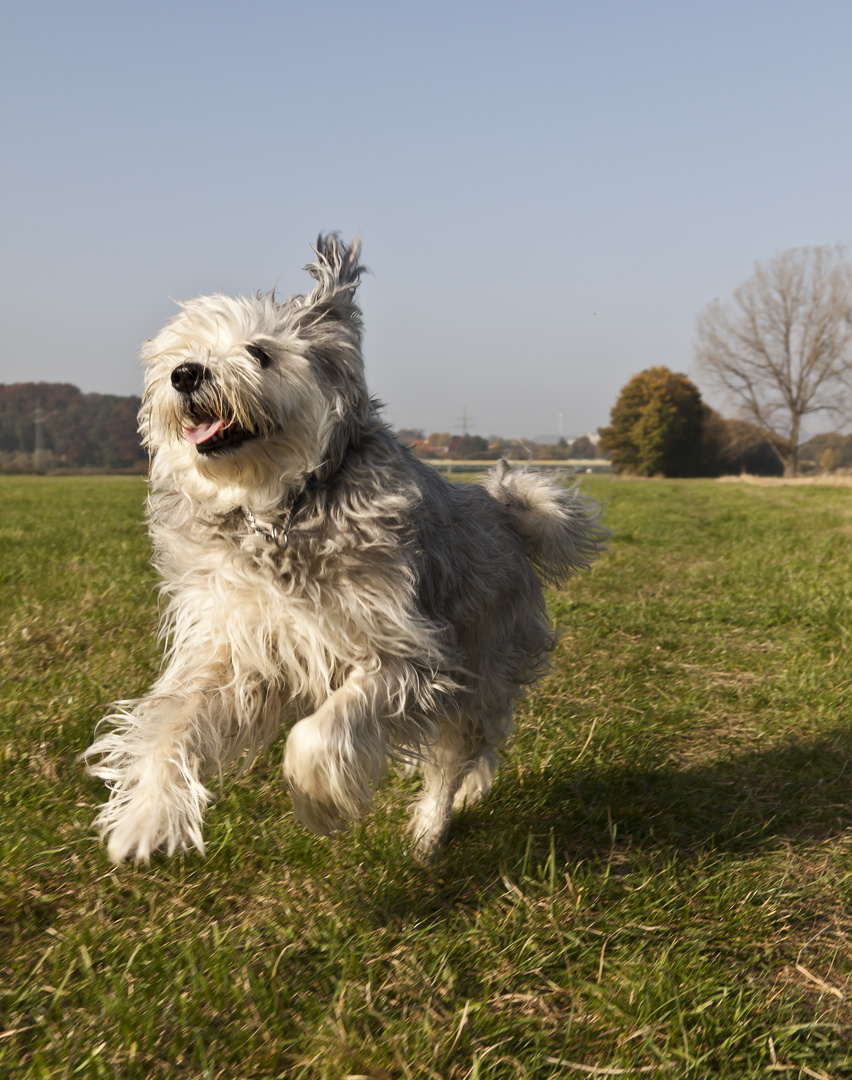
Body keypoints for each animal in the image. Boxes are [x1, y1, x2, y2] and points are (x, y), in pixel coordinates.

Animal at [83, 234, 604, 859]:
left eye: (259, 353)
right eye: (183, 350)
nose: (185, 373)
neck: (280, 509)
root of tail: (503, 509)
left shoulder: (409, 654)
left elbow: (318, 733)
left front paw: (318, 799)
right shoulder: (237, 649)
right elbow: (172, 725)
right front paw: (147, 814)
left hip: (479, 674)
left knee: (454, 759)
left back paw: (430, 832)